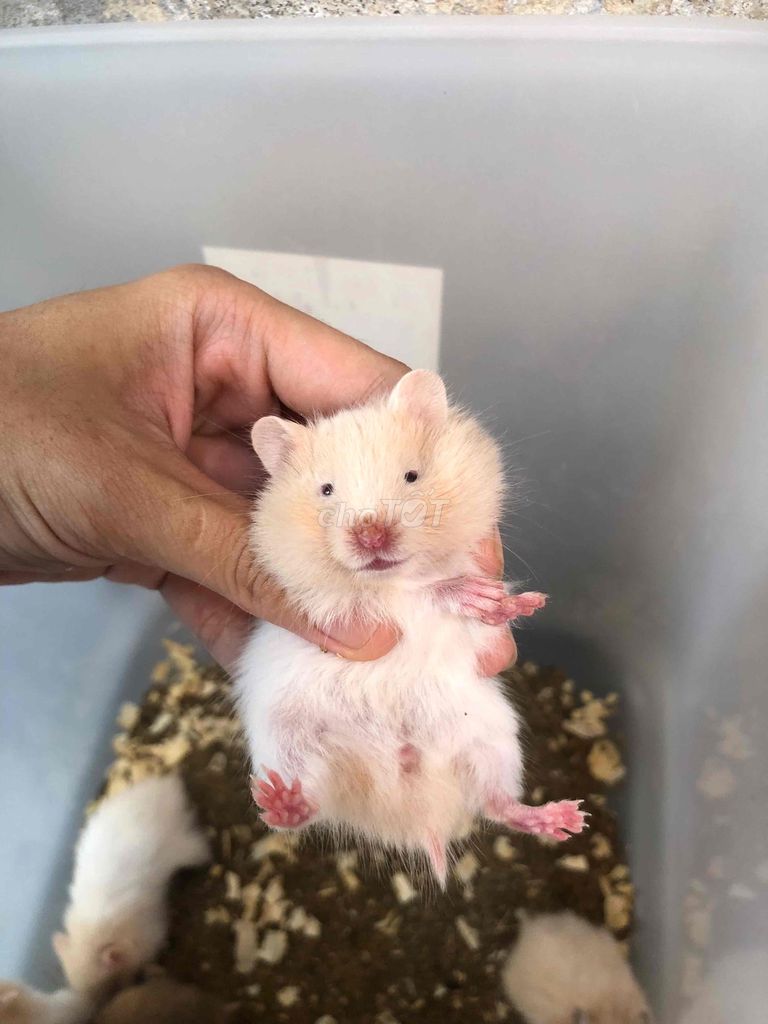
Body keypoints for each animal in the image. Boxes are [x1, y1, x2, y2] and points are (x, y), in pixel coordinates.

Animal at [236, 370, 586, 885]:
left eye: (412, 476)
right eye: (326, 490)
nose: (371, 535)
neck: (391, 575)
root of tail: (409, 807)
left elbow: (451, 600)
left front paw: (518, 603)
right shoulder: (337, 608)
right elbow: (416, 596)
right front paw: (478, 596)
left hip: (494, 739)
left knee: (498, 804)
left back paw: (565, 818)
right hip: (284, 740)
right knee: (308, 807)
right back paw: (283, 802)